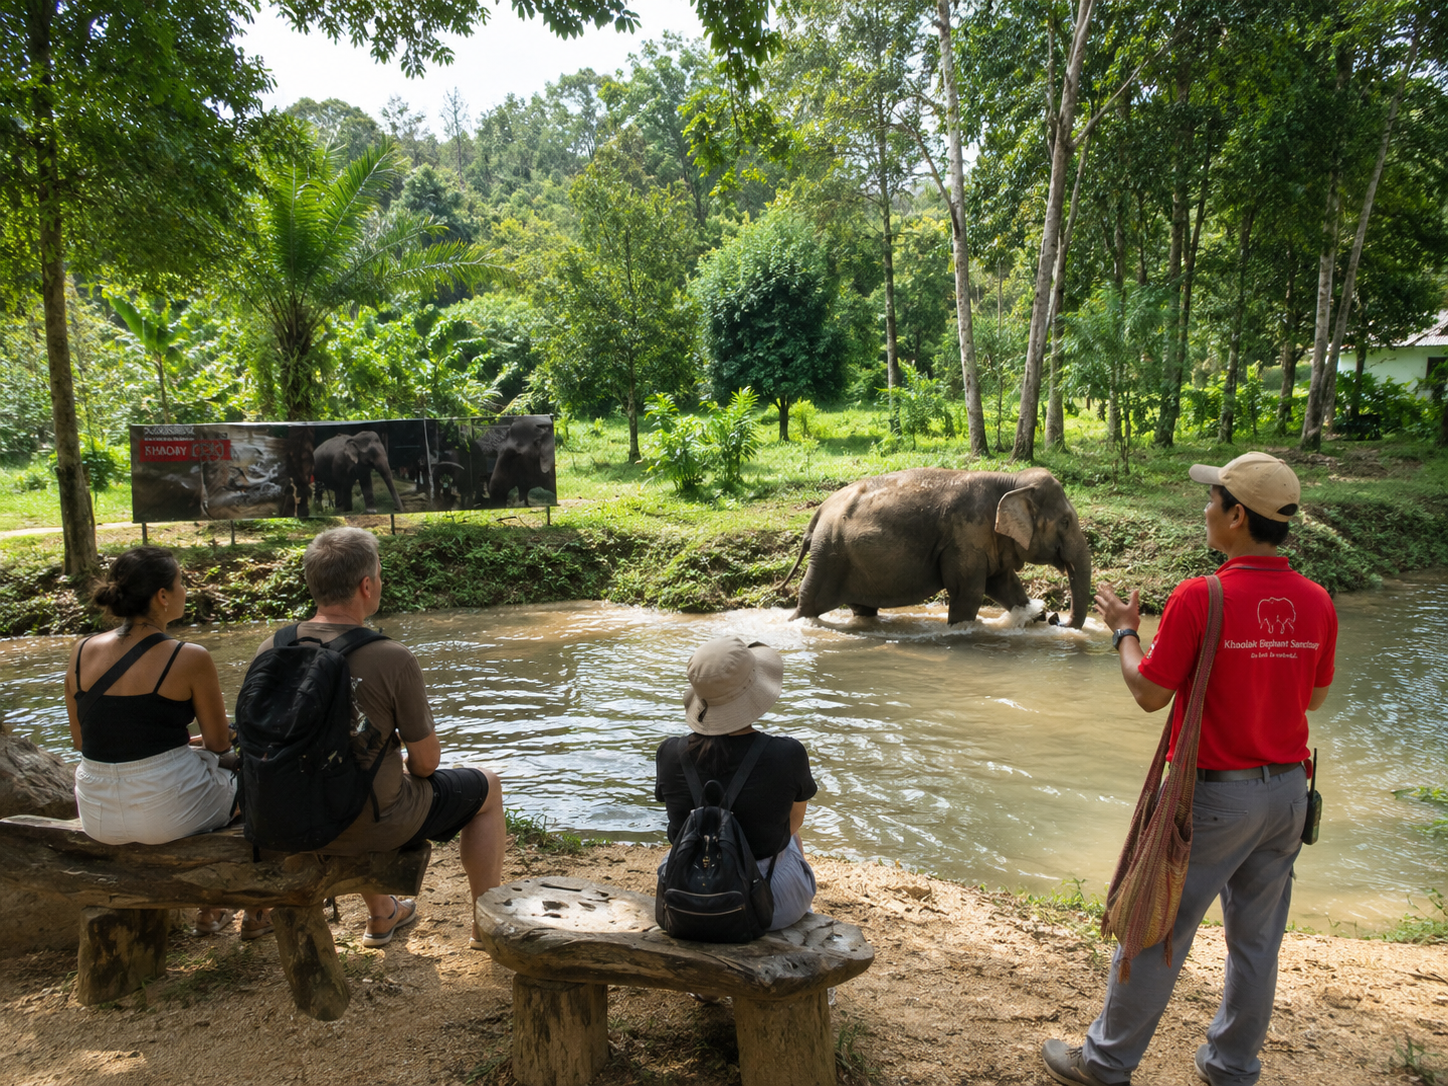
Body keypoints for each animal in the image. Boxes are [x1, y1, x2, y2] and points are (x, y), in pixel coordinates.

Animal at [778, 467, 1093, 628]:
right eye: (1065, 522)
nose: (1055, 618)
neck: (1011, 480)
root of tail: (819, 511)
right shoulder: (966, 536)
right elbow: (969, 592)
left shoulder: (985, 540)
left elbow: (1004, 585)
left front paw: (1030, 616)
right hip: (829, 554)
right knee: (810, 601)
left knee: (862, 608)